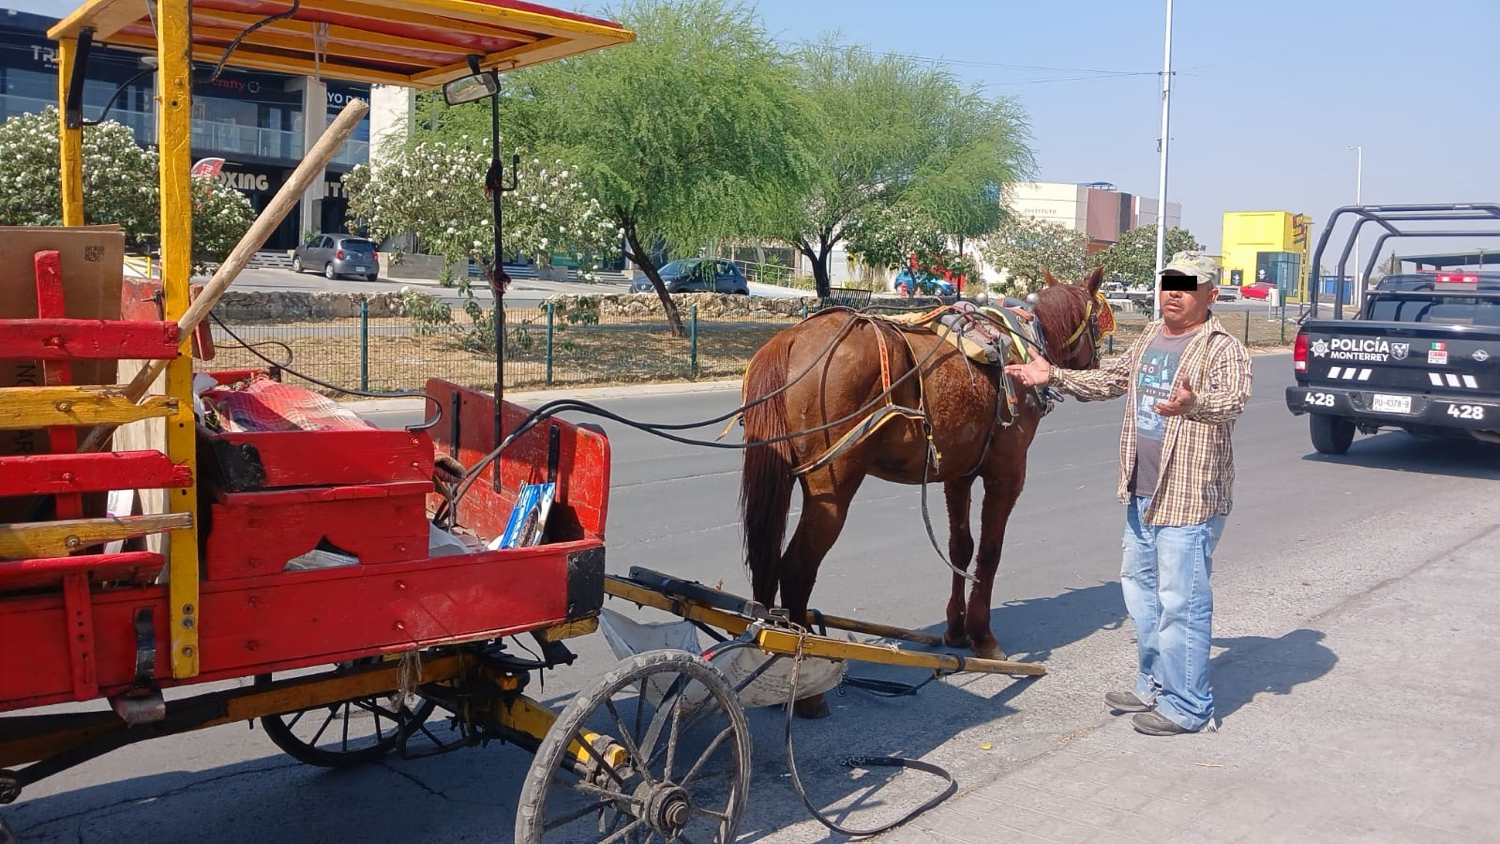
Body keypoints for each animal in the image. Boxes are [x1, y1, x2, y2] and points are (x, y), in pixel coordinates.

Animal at [739, 267, 1108, 718]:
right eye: (1096, 323)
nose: (1096, 364)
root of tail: (790, 339)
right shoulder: (1006, 473)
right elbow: (989, 554)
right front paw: (983, 637)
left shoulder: (958, 474)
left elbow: (960, 549)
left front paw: (956, 629)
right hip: (832, 491)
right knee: (794, 569)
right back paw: (806, 685)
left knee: (765, 565)